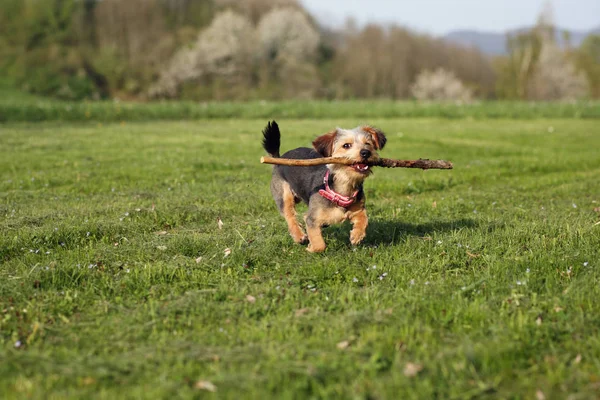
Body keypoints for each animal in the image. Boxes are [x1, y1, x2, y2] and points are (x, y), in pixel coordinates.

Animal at [262, 120, 384, 253]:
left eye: (368, 144)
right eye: (346, 145)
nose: (366, 152)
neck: (342, 188)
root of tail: (279, 158)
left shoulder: (358, 208)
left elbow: (364, 219)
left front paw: (357, 235)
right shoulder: (312, 218)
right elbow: (319, 244)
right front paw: (311, 248)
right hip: (284, 194)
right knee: (289, 215)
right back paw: (299, 236)